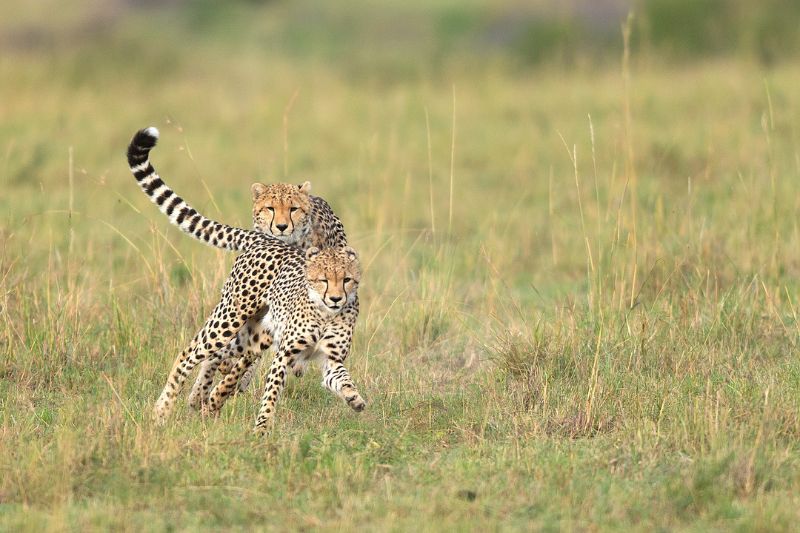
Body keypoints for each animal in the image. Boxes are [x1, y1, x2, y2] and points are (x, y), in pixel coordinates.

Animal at [127, 129, 366, 432]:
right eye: (270, 208)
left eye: (346, 280)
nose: (281, 226)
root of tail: (261, 239)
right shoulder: (282, 351)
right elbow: (269, 390)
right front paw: (260, 428)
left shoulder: (328, 358)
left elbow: (339, 377)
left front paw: (354, 397)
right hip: (229, 318)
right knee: (192, 354)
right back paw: (165, 409)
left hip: (251, 329)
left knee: (227, 357)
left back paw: (204, 397)